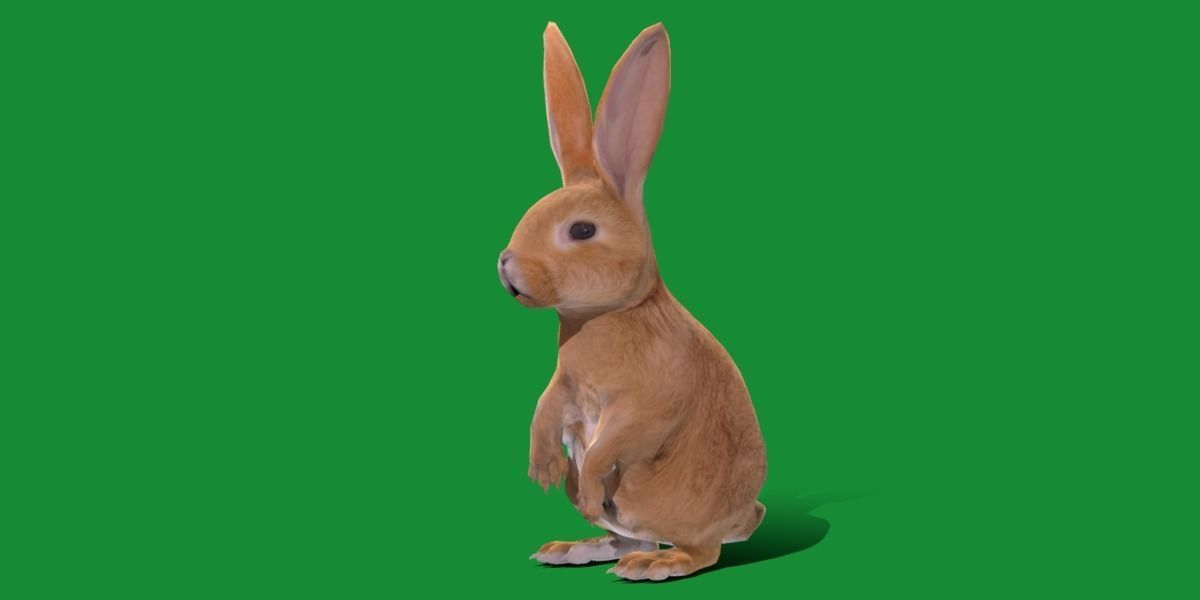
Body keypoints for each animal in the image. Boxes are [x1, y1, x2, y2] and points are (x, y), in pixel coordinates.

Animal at [497, 22, 767, 581]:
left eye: (582, 230)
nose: (506, 265)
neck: (611, 314)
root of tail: (745, 515)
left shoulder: (646, 404)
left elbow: (615, 441)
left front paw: (570, 480)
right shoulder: (565, 386)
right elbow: (544, 409)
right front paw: (542, 468)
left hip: (651, 495)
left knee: (698, 549)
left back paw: (650, 564)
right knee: (623, 534)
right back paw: (572, 547)